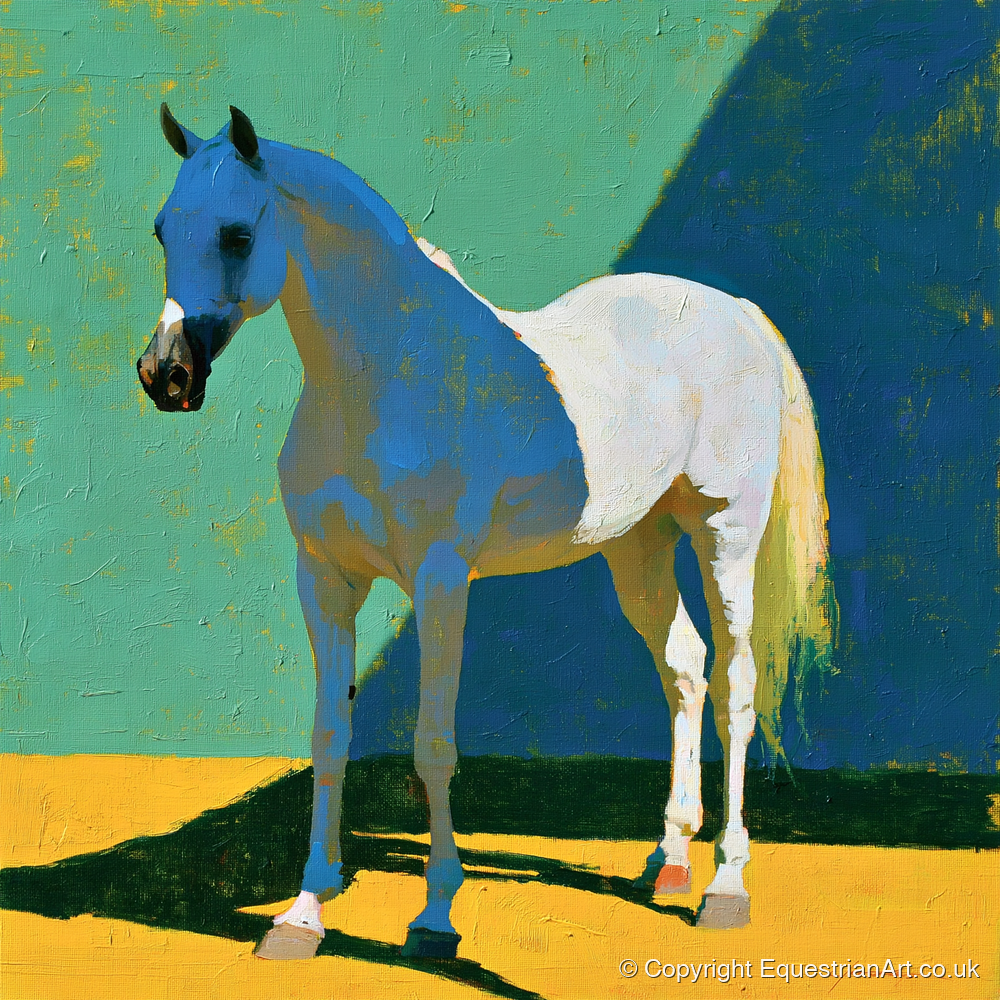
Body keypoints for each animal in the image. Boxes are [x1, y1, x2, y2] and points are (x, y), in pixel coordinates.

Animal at [137, 105, 833, 960]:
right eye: (163, 230)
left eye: (237, 234)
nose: (166, 376)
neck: (383, 380)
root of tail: (738, 313)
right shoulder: (324, 579)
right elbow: (329, 737)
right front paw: (302, 913)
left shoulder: (440, 580)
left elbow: (432, 746)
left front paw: (434, 919)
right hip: (637, 548)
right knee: (685, 668)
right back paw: (668, 859)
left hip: (723, 533)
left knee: (736, 683)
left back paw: (726, 885)